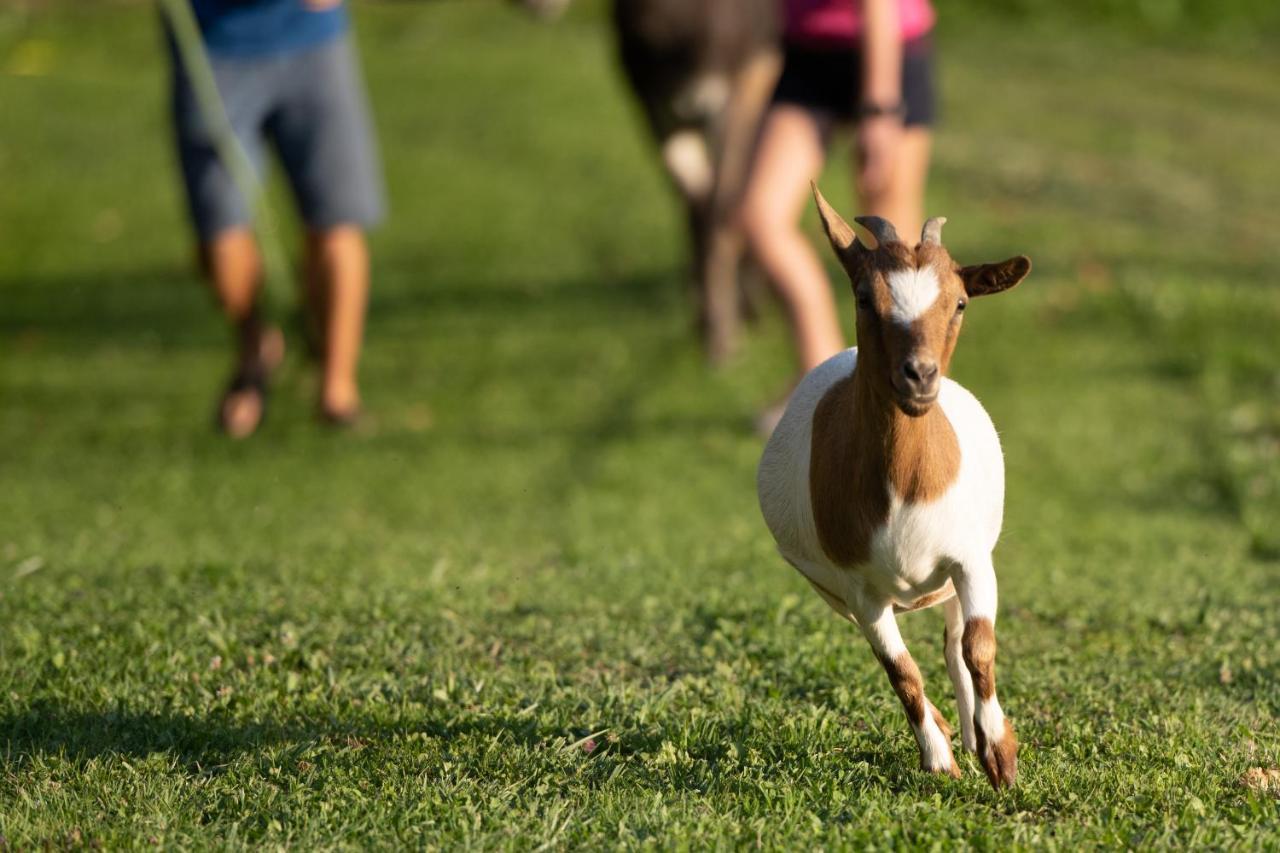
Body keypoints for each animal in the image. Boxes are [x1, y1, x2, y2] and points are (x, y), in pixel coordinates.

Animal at [752, 184, 1034, 783]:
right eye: (864, 297)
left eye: (960, 303)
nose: (920, 376)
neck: (904, 489)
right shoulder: (859, 590)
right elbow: (900, 671)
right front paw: (939, 759)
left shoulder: (971, 558)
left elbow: (978, 647)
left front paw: (999, 752)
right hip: (831, 591)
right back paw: (951, 733)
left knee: (954, 641)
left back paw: (973, 733)